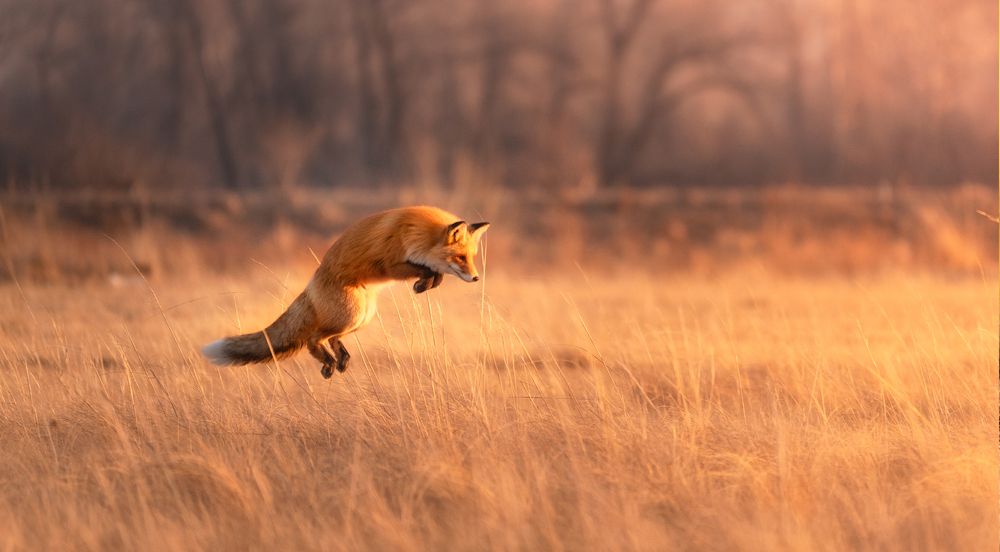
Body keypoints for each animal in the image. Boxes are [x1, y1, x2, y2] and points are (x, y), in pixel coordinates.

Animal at [202, 206, 489, 378]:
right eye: (461, 257)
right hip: (351, 314)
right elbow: (428, 270)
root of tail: (311, 284)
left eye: (472, 257)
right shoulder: (391, 263)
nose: (476, 277)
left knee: (331, 338)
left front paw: (426, 285)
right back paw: (329, 362)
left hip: (362, 316)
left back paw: (340, 360)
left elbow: (435, 273)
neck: (414, 231)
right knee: (313, 339)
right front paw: (423, 283)